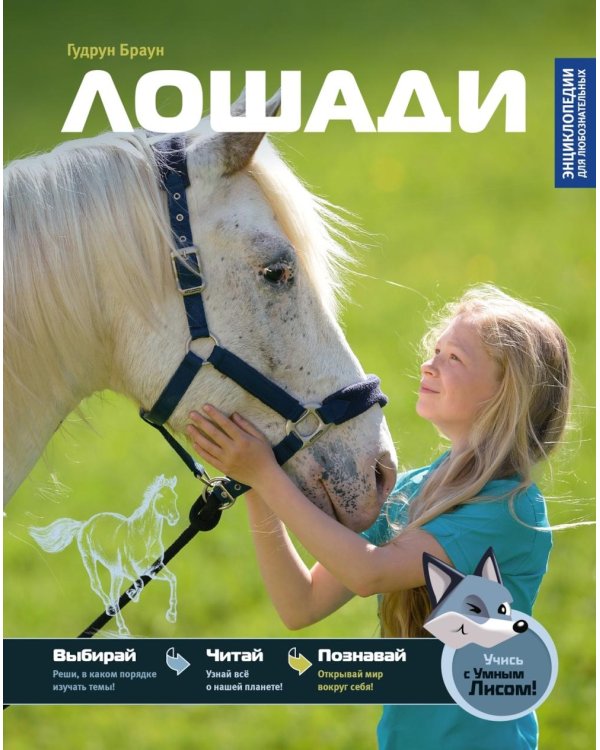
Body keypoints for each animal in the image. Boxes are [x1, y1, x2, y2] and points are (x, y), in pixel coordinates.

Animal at [28, 475, 180, 636]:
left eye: (175, 497)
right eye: (162, 497)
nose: (175, 518)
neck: (143, 536)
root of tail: (84, 524)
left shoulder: (152, 567)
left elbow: (172, 579)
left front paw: (171, 615)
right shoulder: (128, 568)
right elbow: (139, 582)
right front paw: (134, 595)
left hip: (115, 572)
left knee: (114, 593)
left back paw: (122, 627)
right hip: (89, 559)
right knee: (97, 586)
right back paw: (112, 610)